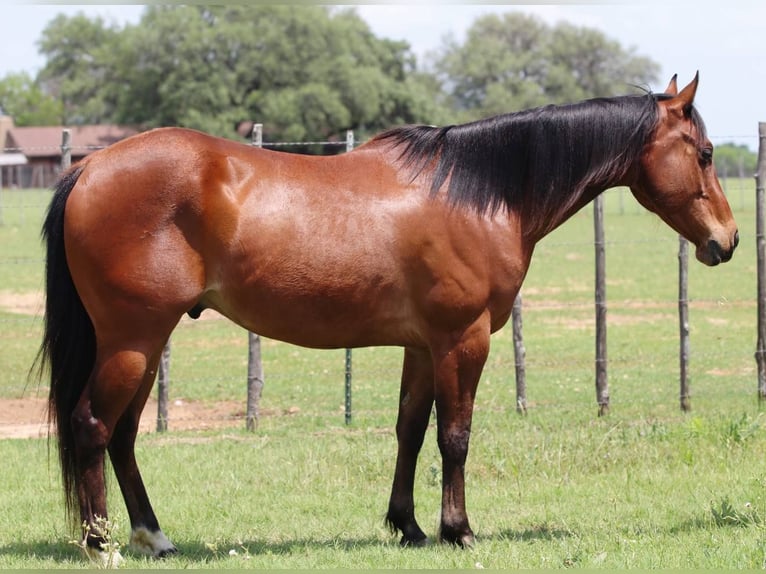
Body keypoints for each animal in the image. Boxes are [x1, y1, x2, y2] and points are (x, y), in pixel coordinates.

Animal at [38, 74, 737, 565]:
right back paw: (102, 544)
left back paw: (153, 537)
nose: (727, 242)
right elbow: (455, 436)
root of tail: (91, 166)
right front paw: (459, 530)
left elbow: (409, 430)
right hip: (133, 339)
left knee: (123, 435)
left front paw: (408, 525)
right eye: (704, 152)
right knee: (93, 425)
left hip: (145, 341)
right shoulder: (463, 339)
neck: (478, 192)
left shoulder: (423, 347)